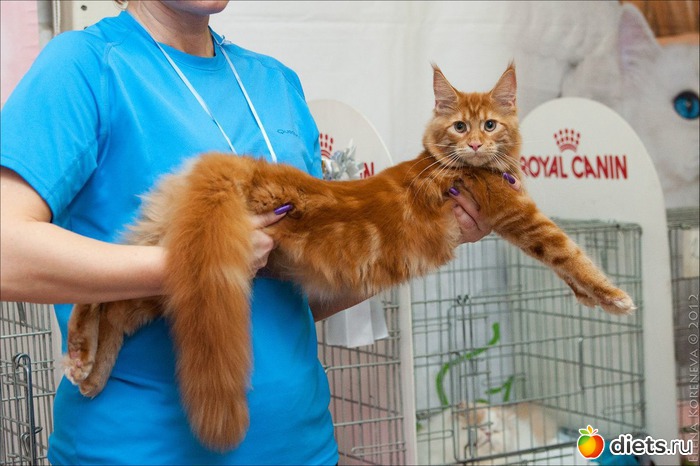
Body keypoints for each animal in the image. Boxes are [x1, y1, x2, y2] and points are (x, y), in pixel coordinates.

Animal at [64, 63, 635, 452]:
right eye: (460, 127)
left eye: (490, 125)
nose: (474, 144)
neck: (456, 165)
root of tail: (239, 166)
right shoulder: (515, 214)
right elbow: (567, 253)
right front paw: (612, 297)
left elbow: (565, 265)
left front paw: (593, 298)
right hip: (200, 262)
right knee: (98, 298)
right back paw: (82, 363)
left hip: (173, 265)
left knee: (103, 299)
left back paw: (87, 370)